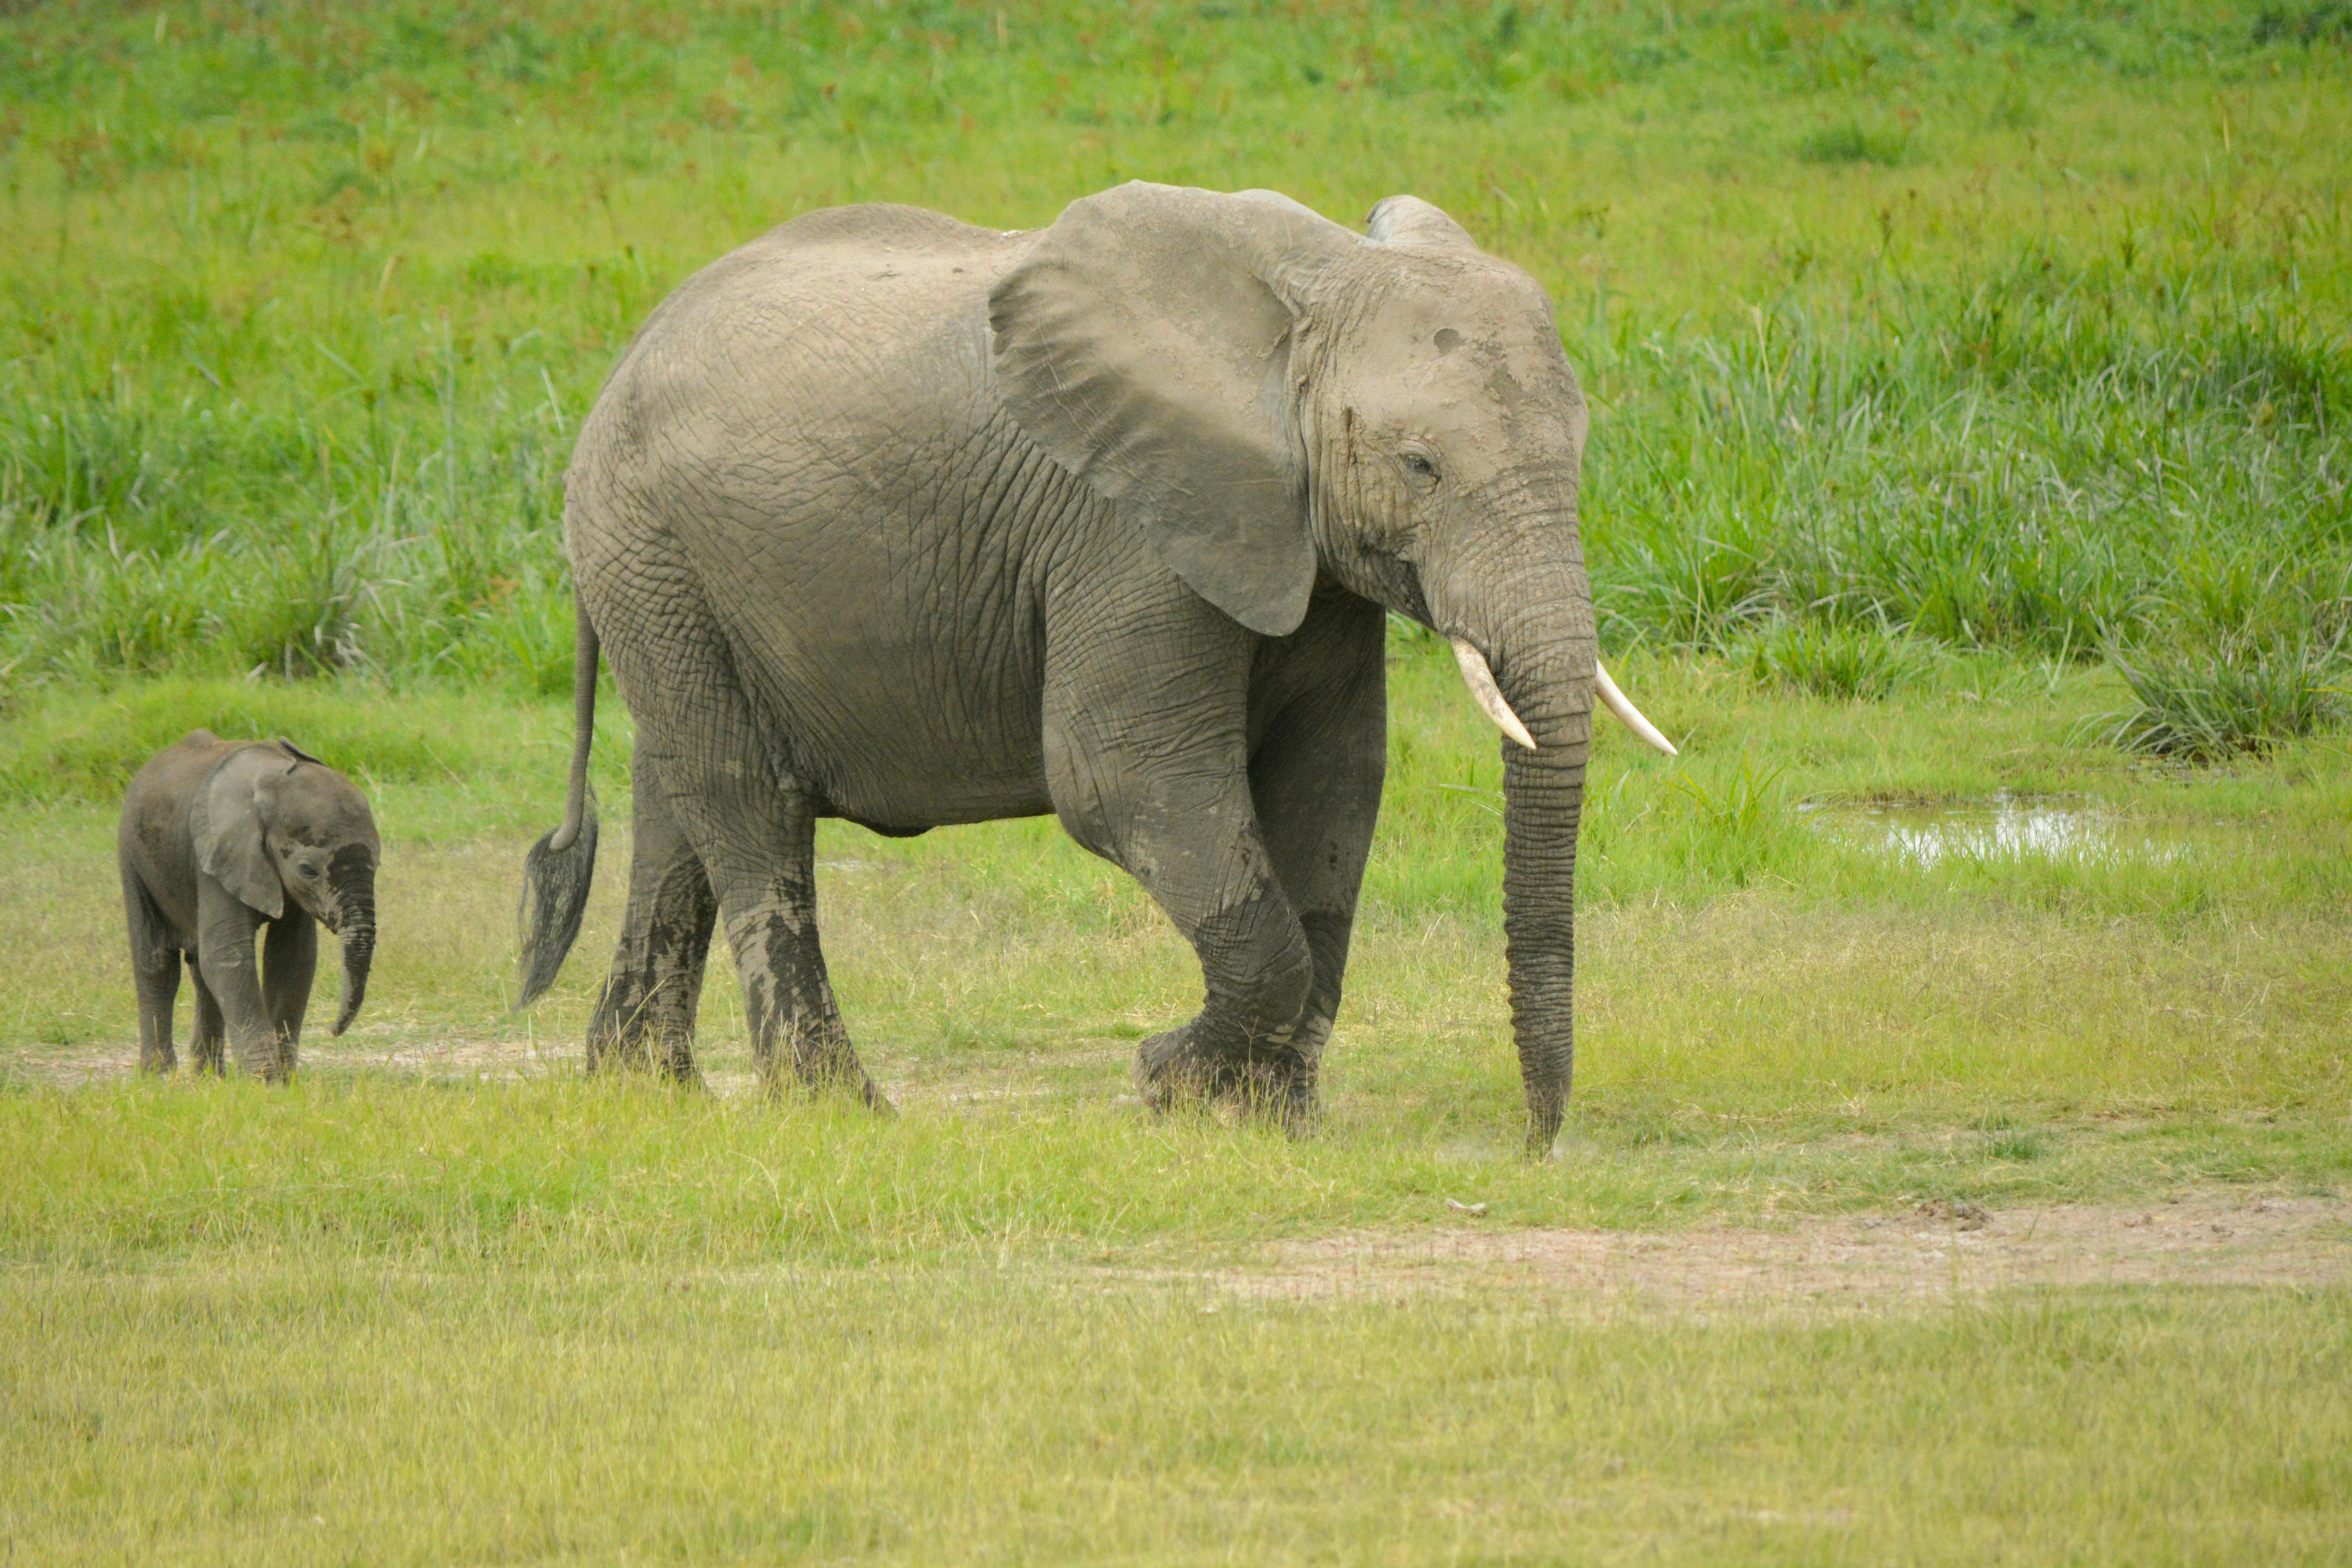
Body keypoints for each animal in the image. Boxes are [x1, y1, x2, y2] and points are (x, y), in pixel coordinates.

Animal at [116, 733, 376, 1081]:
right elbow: (230, 956)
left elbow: (293, 957)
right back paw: (159, 1076)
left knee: (201, 970)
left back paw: (209, 1077)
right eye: (308, 870)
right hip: (133, 855)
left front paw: (283, 1081)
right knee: (157, 963)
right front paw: (264, 1081)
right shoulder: (218, 855)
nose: (333, 1032)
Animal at [520, 184, 1675, 1152]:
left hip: (667, 577)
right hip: (651, 549)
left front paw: (1273, 1121)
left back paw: (644, 1092)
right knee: (748, 807)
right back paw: (836, 1109)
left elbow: (1334, 784)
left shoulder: (1302, 546)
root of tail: (622, 361)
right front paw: (1167, 1081)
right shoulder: (1125, 534)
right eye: (1421, 466)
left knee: (678, 804)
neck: (1309, 291)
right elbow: (1123, 783)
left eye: (1578, 453)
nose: (1535, 1142)